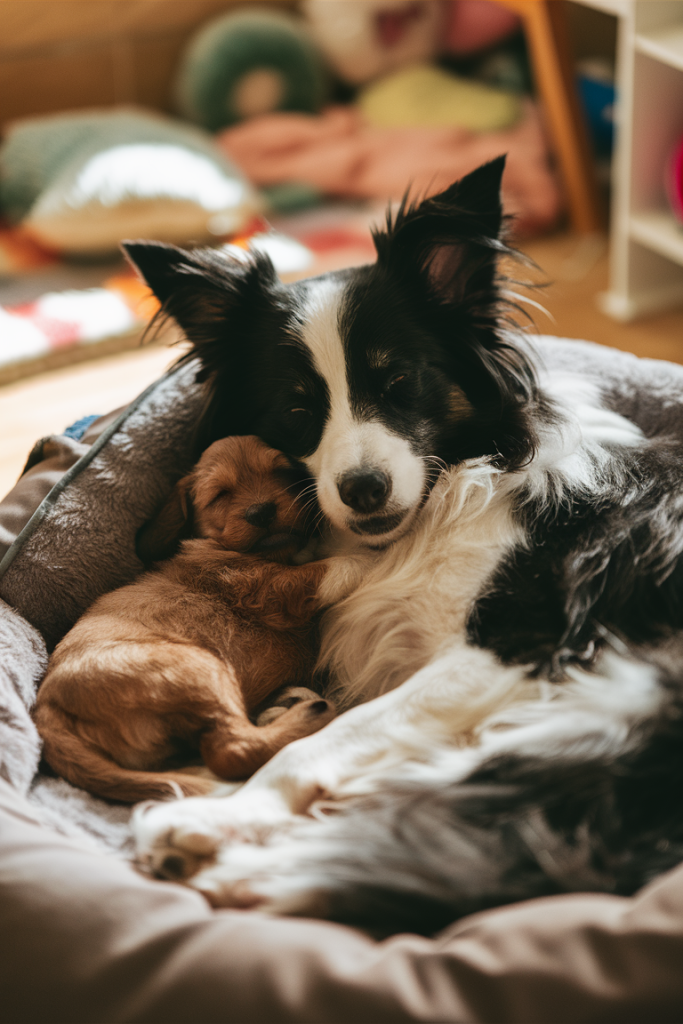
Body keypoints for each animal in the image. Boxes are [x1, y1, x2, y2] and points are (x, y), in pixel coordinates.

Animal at [34, 436, 339, 802]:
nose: (262, 511)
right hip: (199, 668)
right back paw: (309, 715)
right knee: (233, 750)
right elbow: (332, 569)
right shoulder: (267, 587)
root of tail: (46, 707)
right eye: (220, 494)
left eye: (281, 472)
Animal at [122, 159, 683, 937]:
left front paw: (227, 814)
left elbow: (337, 738)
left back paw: (234, 860)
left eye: (399, 383)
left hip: (606, 709)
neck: (439, 506)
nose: (363, 489)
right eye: (297, 408)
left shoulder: (523, 643)